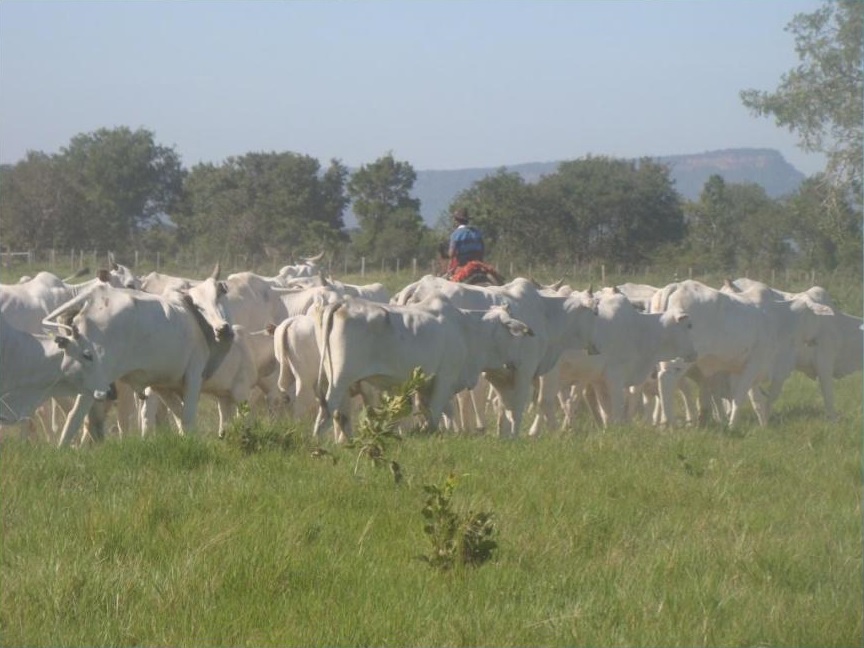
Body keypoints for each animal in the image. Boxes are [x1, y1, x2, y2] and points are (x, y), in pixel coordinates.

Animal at [310, 296, 532, 442]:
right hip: (341, 378)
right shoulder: (445, 378)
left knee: (340, 414)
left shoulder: (428, 383)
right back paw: (317, 443)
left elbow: (437, 412)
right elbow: (434, 412)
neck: (468, 331)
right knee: (328, 410)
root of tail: (342, 303)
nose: (518, 362)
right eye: (515, 333)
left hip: (337, 377)